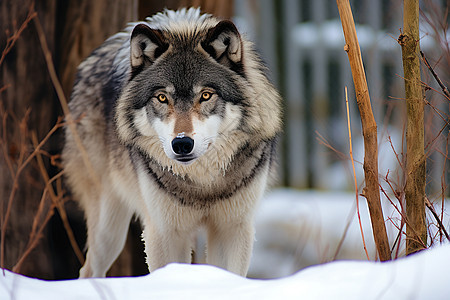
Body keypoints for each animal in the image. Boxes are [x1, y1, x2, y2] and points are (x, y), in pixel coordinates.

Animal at [63, 7, 282, 278]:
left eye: (205, 95)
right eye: (162, 97)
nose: (182, 144)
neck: (202, 185)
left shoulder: (233, 228)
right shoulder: (165, 232)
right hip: (108, 230)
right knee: (88, 270)